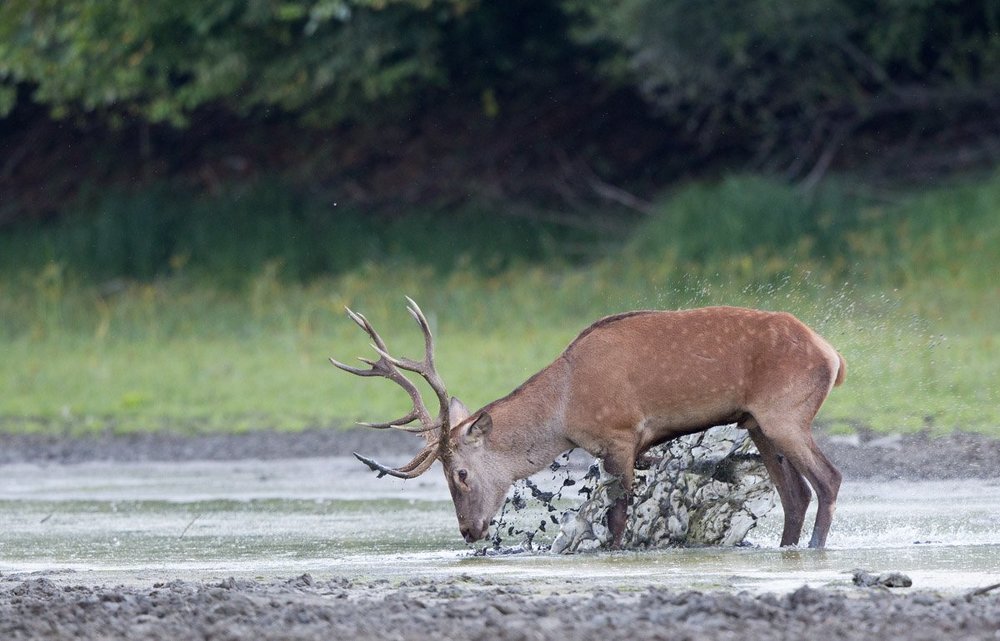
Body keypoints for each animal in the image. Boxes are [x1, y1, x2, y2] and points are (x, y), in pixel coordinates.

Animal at [331, 297, 846, 550]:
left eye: (460, 473)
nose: (468, 531)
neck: (565, 410)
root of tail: (833, 355)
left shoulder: (620, 434)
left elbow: (617, 518)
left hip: (785, 412)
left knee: (829, 478)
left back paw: (816, 547)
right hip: (756, 421)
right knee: (795, 495)